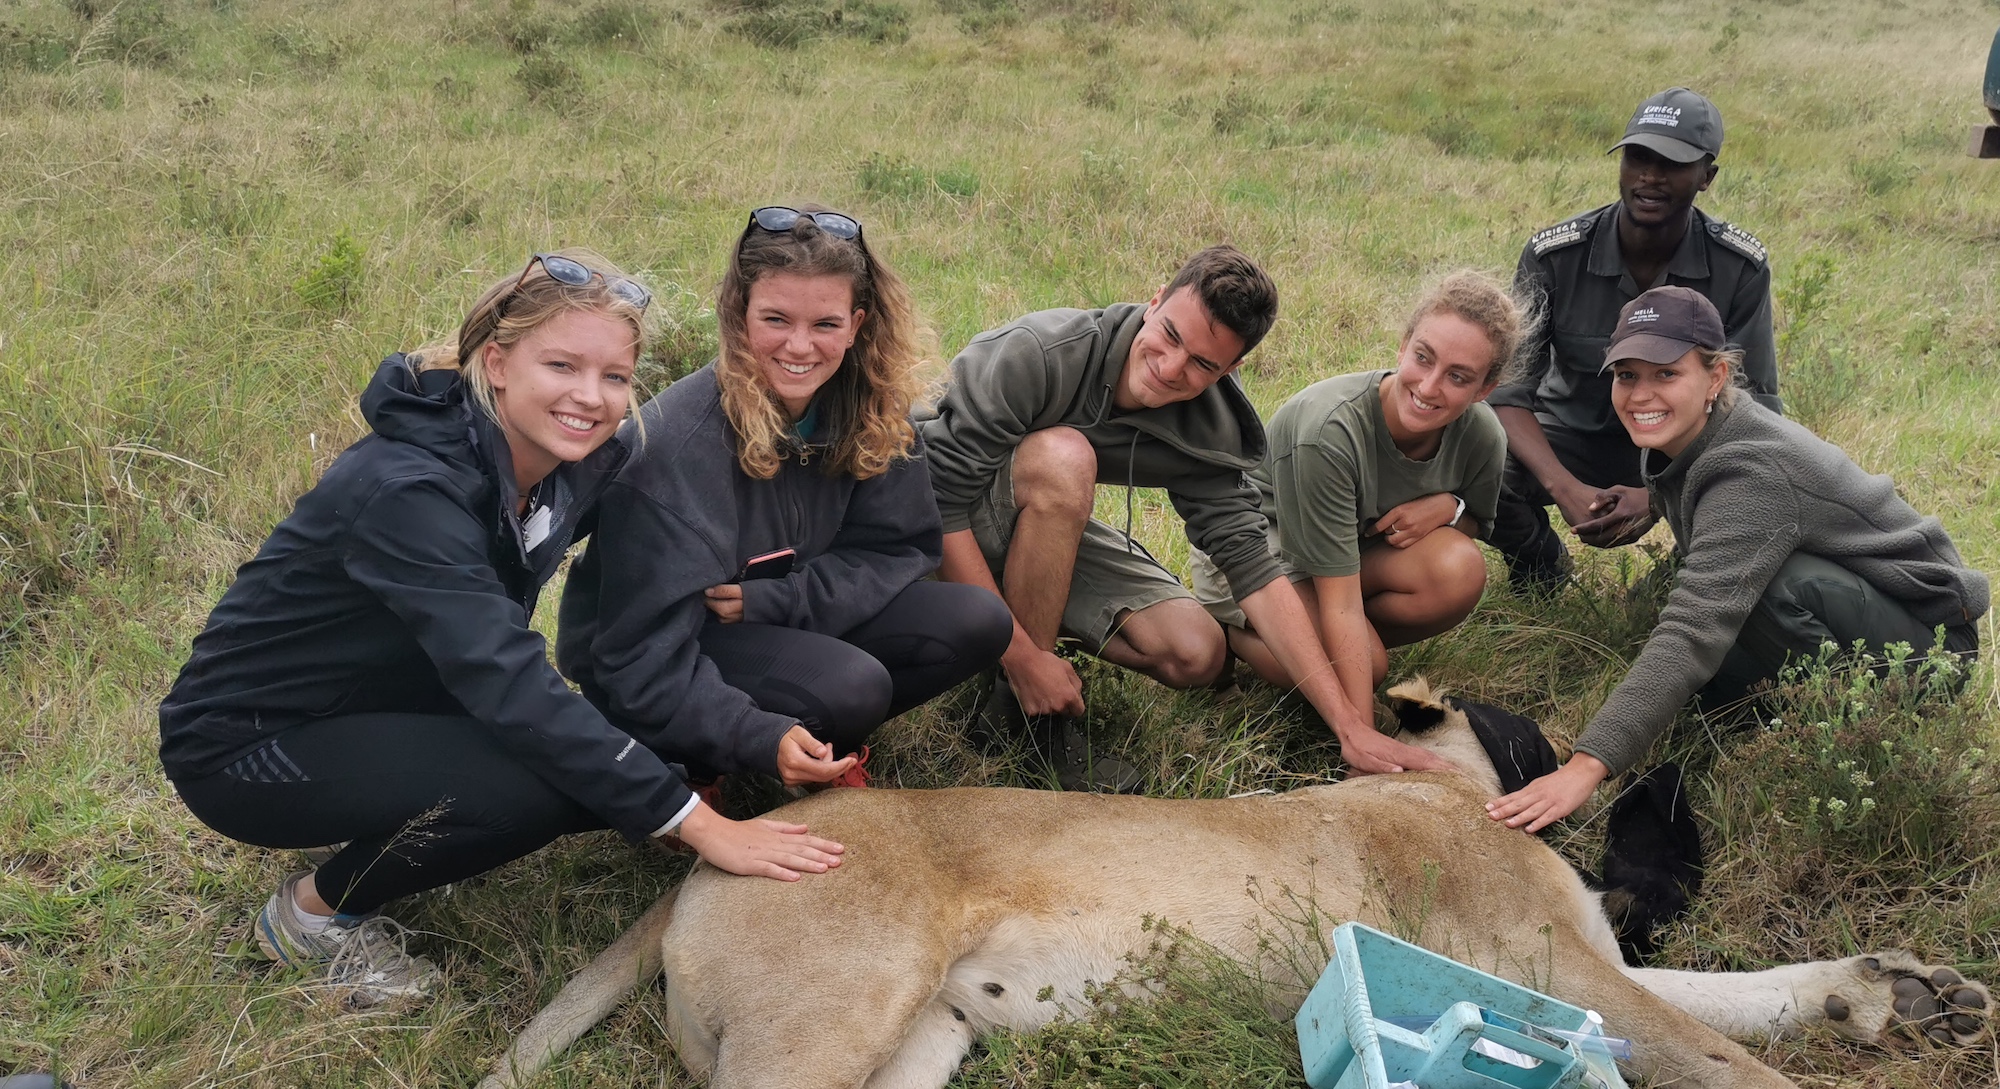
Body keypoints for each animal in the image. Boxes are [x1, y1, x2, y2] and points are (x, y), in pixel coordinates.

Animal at [480, 680, 1984, 1089]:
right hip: (828, 1025)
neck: (1436, 787)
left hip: (920, 1044)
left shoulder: (1577, 973)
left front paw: (1903, 993)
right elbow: (1721, 1048)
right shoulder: (1549, 968)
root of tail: (707, 856)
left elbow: (1735, 996)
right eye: (1531, 731)